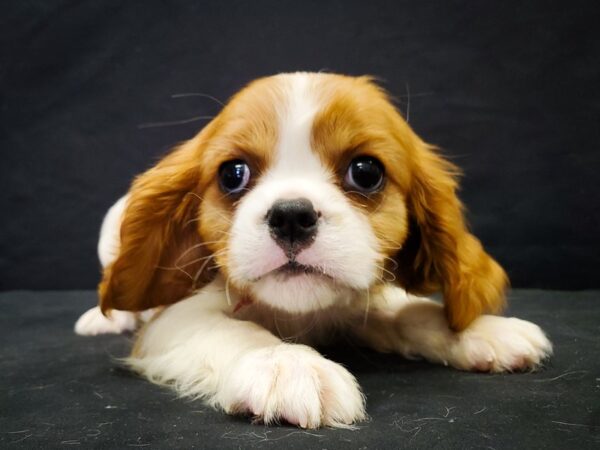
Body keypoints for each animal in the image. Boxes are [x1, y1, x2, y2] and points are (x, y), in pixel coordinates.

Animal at [76, 73, 552, 428]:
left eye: (366, 172)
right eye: (233, 174)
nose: (290, 215)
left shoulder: (358, 303)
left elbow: (408, 311)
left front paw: (481, 331)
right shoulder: (175, 319)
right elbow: (234, 330)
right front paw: (287, 366)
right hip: (111, 227)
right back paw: (103, 320)